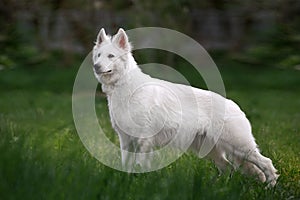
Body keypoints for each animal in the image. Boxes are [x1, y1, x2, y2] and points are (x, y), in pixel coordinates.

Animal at [92, 27, 278, 186]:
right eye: (98, 55)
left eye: (111, 56)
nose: (96, 66)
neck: (125, 87)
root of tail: (234, 105)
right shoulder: (125, 140)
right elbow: (126, 165)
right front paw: (126, 180)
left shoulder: (144, 140)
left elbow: (141, 165)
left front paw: (140, 182)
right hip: (210, 150)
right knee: (228, 168)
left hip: (239, 147)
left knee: (266, 163)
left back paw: (271, 186)